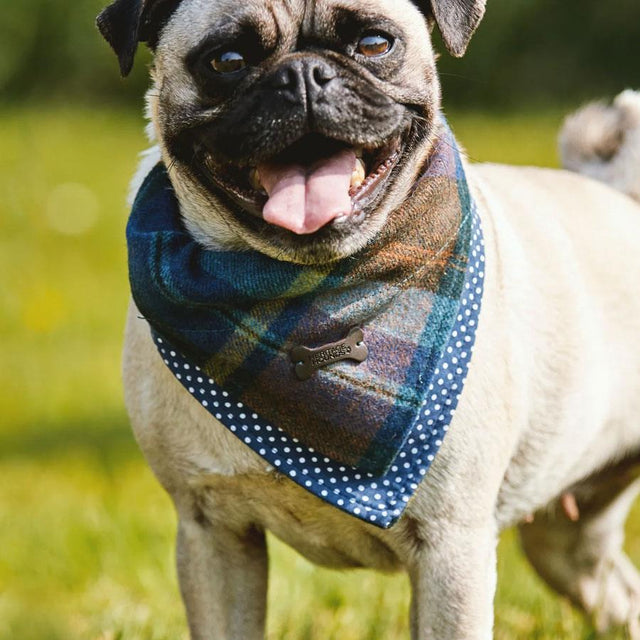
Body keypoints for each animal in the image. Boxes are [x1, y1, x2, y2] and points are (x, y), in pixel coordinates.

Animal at [95, 0, 640, 636]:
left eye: (376, 44)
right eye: (226, 61)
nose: (303, 75)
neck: (311, 291)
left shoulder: (451, 549)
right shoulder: (212, 532)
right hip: (567, 541)